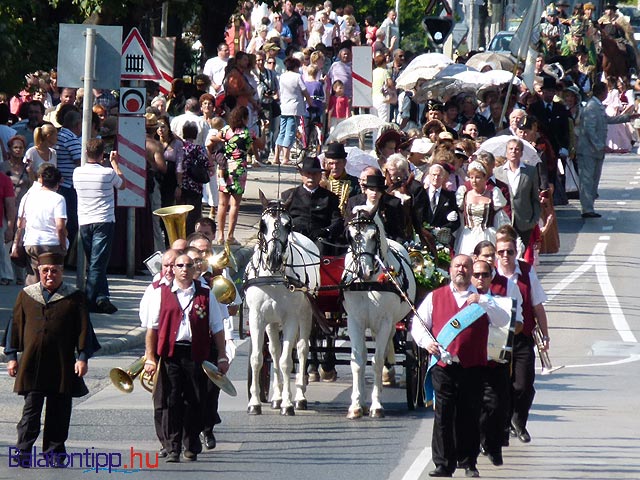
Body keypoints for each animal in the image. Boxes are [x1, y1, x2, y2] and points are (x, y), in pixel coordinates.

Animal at [242, 193, 320, 414]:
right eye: (263, 225)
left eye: (288, 224)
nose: (274, 258)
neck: (273, 276)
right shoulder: (257, 317)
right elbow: (258, 359)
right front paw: (255, 403)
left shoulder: (291, 318)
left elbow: (287, 361)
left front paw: (288, 404)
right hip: (272, 322)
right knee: (274, 352)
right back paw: (276, 397)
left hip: (305, 316)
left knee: (302, 349)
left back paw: (299, 397)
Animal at [342, 212, 418, 418]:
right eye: (350, 237)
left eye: (374, 236)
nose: (364, 271)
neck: (369, 284)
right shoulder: (355, 322)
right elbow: (358, 361)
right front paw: (356, 405)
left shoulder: (384, 322)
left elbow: (376, 361)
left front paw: (376, 405)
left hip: (391, 323)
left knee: (385, 350)